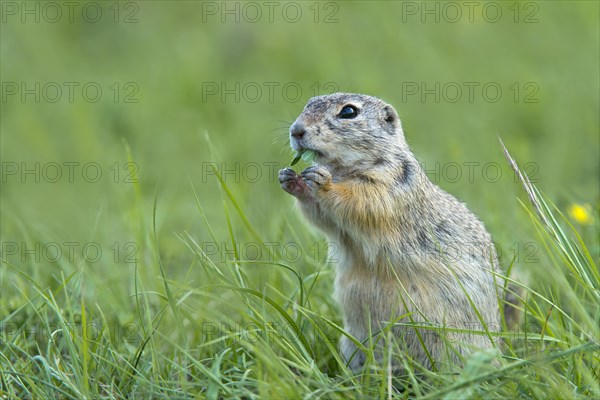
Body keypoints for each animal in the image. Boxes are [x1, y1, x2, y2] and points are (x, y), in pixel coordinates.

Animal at [278, 92, 504, 370]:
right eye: (308, 103)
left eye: (348, 112)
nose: (296, 130)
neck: (342, 168)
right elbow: (320, 215)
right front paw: (290, 178)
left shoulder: (390, 181)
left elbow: (361, 200)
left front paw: (324, 182)